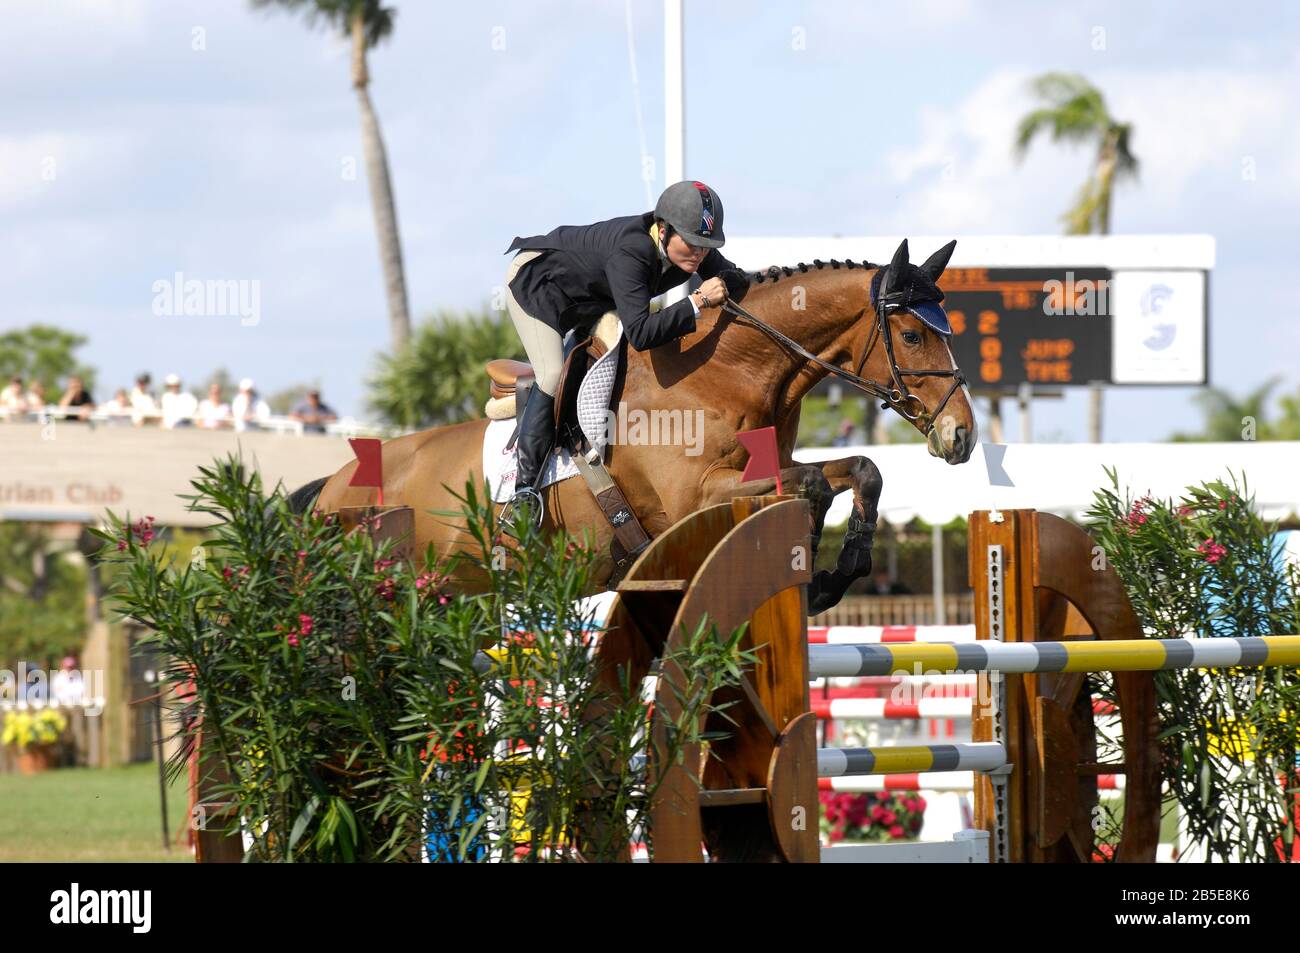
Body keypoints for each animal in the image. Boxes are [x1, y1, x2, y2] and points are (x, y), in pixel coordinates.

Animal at [304, 237, 977, 608]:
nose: (961, 436)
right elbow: (811, 486)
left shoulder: (773, 465)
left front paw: (846, 567)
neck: (725, 372)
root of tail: (327, 488)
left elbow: (860, 470)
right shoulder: (691, 501)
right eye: (912, 336)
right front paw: (811, 575)